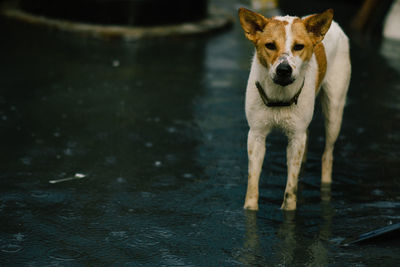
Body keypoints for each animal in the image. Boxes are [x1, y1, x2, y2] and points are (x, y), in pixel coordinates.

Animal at [239, 7, 352, 210]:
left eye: (299, 46)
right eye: (270, 45)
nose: (284, 70)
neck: (279, 96)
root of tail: (335, 25)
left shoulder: (296, 138)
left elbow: (290, 191)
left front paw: (289, 209)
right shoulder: (256, 135)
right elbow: (252, 185)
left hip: (334, 111)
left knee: (327, 156)